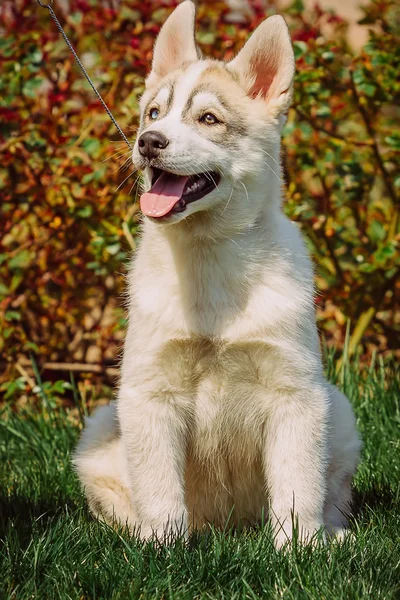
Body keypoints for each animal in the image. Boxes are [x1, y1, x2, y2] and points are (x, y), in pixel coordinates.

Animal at [73, 0, 360, 548]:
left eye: (209, 118)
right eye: (154, 113)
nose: (148, 142)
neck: (208, 261)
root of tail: (230, 527)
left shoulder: (295, 393)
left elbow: (298, 485)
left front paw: (299, 549)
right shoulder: (150, 393)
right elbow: (160, 489)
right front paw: (162, 550)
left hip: (340, 412)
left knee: (329, 493)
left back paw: (332, 535)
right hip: (102, 429)